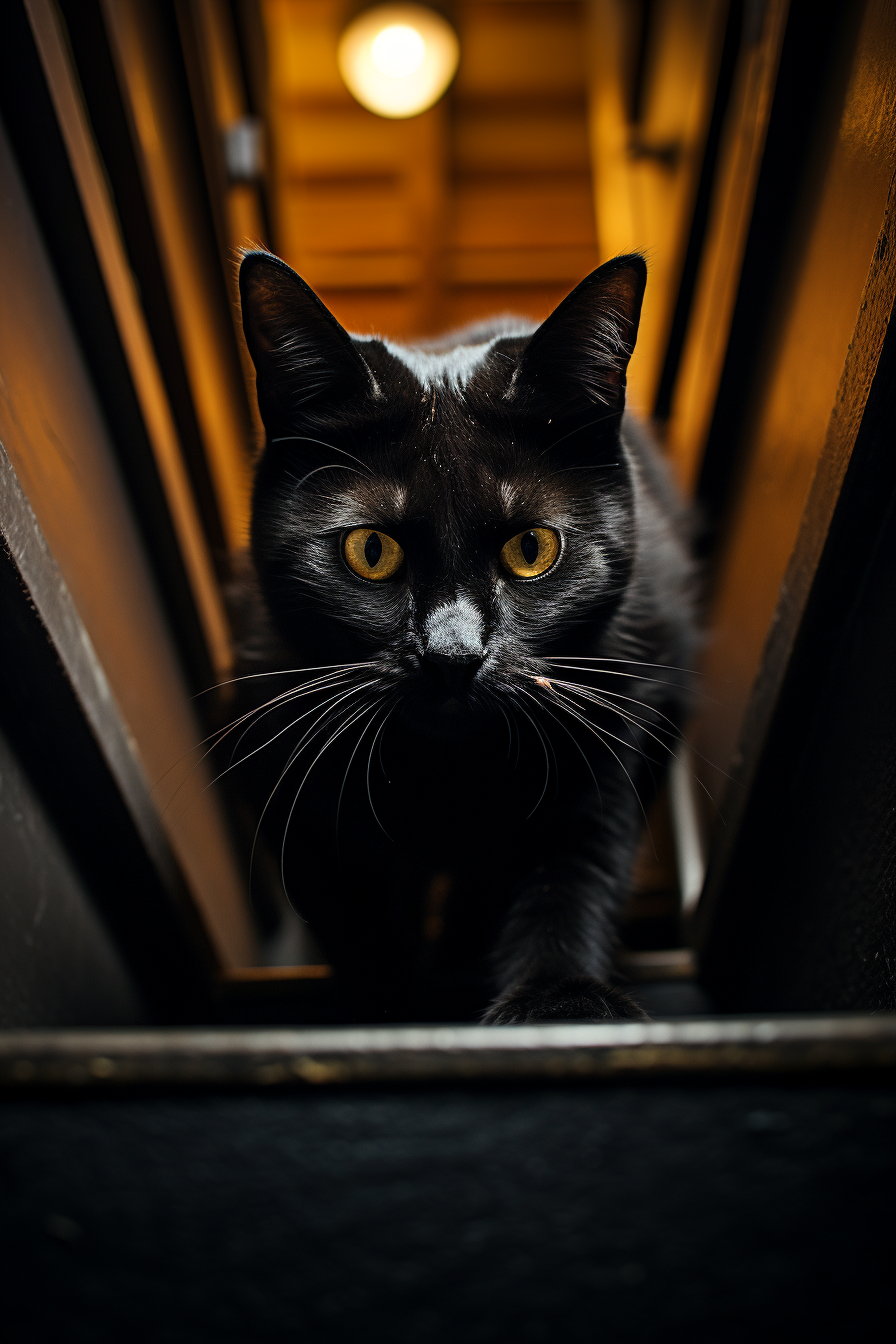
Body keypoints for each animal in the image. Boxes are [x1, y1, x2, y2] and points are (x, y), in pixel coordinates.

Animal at [235, 249, 698, 1016]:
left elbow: (569, 879)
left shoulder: (605, 742)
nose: (453, 654)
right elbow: (358, 927)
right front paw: (399, 1008)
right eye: (370, 550)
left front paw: (561, 1002)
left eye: (532, 548)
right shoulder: (288, 775)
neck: (446, 776)